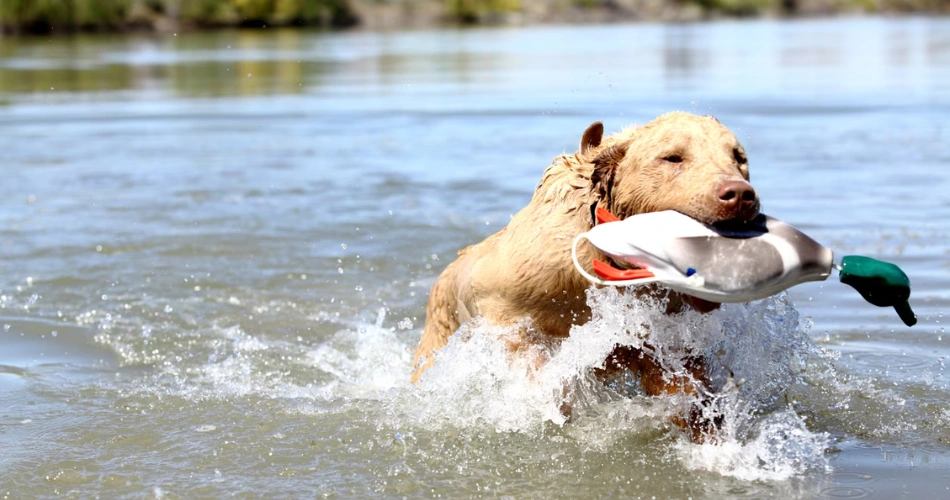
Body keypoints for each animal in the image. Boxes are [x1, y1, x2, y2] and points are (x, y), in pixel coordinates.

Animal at [410, 112, 760, 438]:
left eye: (738, 157)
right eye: (672, 157)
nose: (740, 195)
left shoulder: (662, 335)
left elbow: (683, 385)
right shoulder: (504, 300)